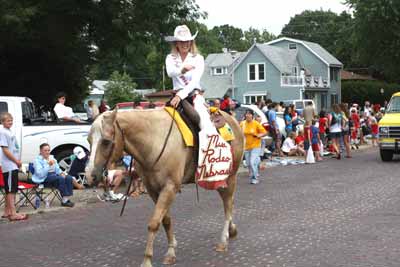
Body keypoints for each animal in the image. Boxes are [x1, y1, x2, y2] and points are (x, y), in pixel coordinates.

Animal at [86, 109, 244, 267]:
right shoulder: (153, 190)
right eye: (89, 140)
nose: (89, 176)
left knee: (227, 203)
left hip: (229, 176)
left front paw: (148, 259)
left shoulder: (169, 188)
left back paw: (223, 240)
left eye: (106, 142)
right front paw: (171, 250)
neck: (154, 141)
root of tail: (233, 120)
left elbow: (154, 223)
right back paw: (232, 230)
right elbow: (165, 220)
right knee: (230, 201)